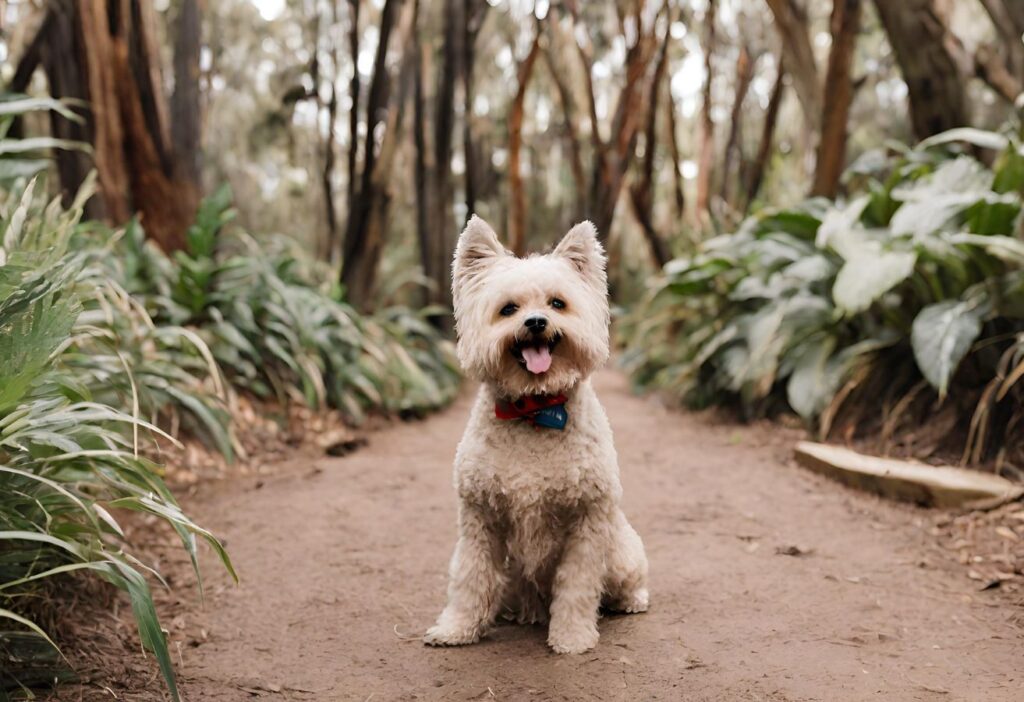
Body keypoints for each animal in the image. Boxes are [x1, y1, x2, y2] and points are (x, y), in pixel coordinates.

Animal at [423, 216, 647, 659]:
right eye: (508, 309)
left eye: (557, 303)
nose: (536, 322)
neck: (534, 410)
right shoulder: (479, 521)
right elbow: (470, 578)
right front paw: (457, 628)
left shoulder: (587, 523)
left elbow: (577, 586)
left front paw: (572, 638)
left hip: (621, 553)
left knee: (625, 582)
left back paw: (631, 601)